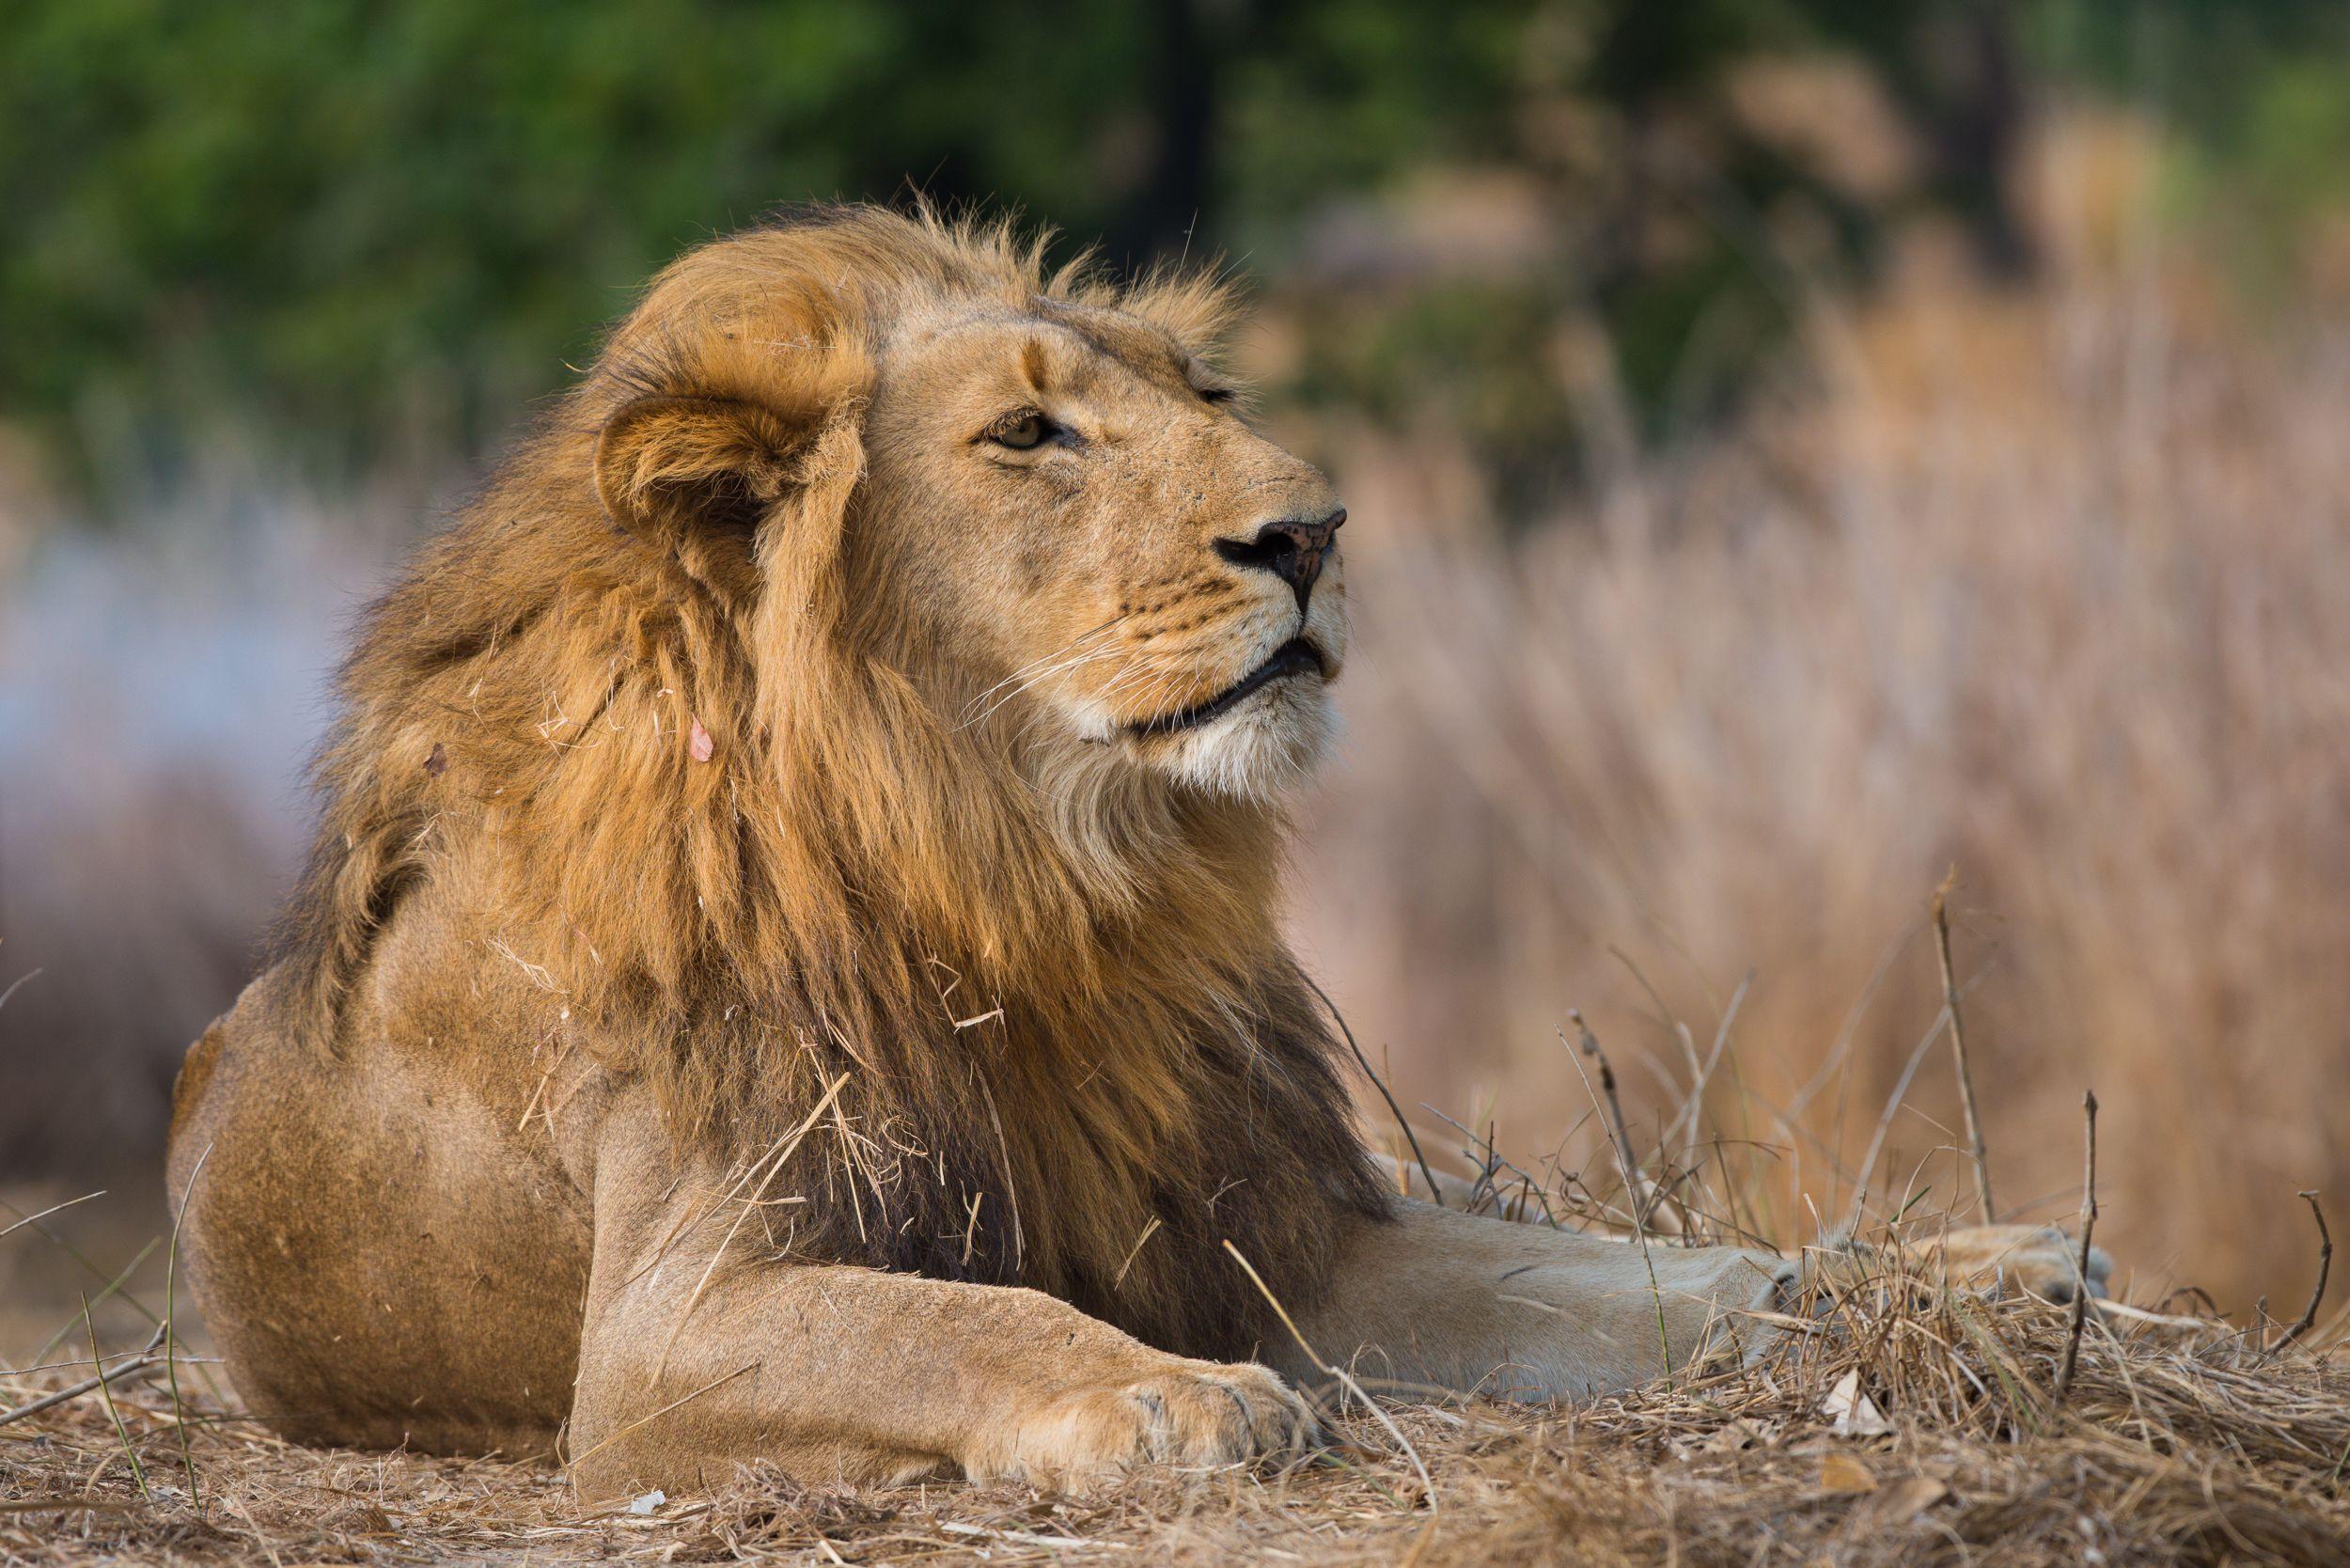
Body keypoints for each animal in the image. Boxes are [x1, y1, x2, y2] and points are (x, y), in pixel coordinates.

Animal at [166, 204, 2103, 1498]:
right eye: (1031, 432)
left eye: (1208, 391)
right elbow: (946, 1320)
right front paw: (1178, 1398)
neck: (1028, 870)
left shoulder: (1281, 1245)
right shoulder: (655, 1341)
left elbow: (1652, 1272)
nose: (1315, 530)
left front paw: (1955, 1278)